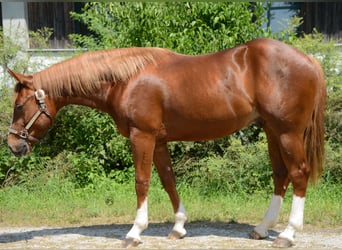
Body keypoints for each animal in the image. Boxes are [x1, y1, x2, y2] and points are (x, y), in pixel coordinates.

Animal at [6, 38, 324, 247]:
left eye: (19, 106)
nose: (12, 145)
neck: (125, 80)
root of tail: (310, 60)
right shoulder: (158, 141)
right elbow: (168, 180)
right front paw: (179, 227)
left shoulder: (142, 136)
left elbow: (142, 181)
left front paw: (135, 232)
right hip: (272, 131)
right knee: (281, 175)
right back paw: (262, 228)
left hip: (288, 132)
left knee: (299, 173)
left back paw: (288, 234)